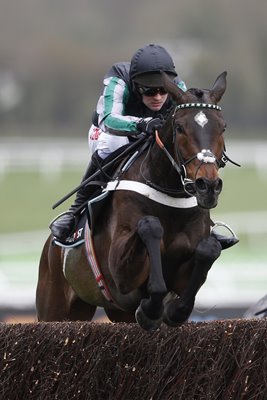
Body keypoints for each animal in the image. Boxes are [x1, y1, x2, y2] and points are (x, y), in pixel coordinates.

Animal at [36, 71, 239, 332]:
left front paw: (174, 311)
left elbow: (209, 249)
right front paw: (150, 310)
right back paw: (65, 224)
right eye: (180, 127)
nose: (208, 186)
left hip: (108, 312)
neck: (170, 197)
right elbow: (150, 227)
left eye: (222, 127)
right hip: (54, 306)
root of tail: (49, 247)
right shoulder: (121, 274)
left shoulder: (183, 275)